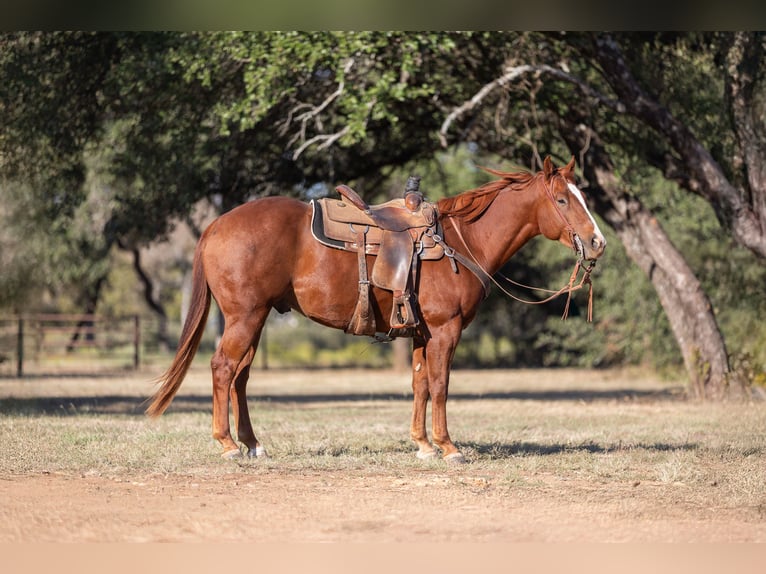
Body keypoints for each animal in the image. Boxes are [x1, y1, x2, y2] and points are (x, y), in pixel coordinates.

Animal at [147, 156, 608, 464]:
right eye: (563, 200)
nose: (598, 242)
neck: (461, 240)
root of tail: (216, 225)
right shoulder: (446, 331)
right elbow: (440, 385)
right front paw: (448, 447)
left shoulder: (422, 333)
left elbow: (420, 384)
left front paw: (423, 444)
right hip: (245, 317)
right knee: (223, 368)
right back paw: (227, 444)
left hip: (254, 320)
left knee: (239, 376)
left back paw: (253, 444)